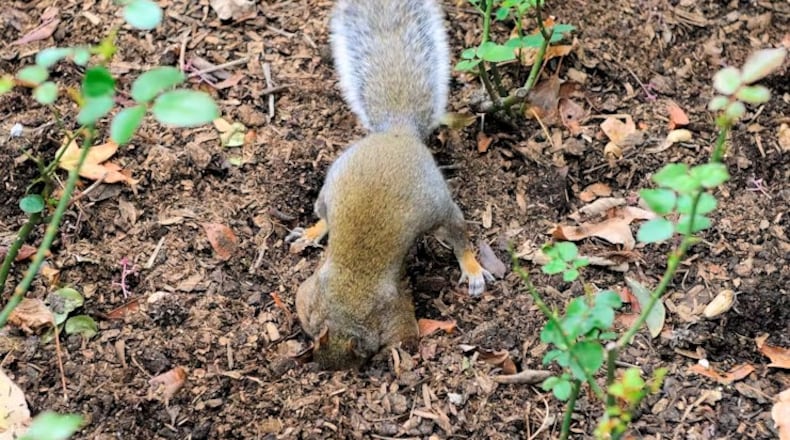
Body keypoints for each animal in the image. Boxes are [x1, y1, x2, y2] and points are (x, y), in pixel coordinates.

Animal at [288, 0, 494, 370]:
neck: (346, 301)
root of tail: (399, 133)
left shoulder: (391, 313)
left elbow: (405, 334)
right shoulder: (310, 296)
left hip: (437, 205)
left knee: (458, 234)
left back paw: (471, 268)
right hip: (330, 186)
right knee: (324, 214)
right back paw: (312, 232)